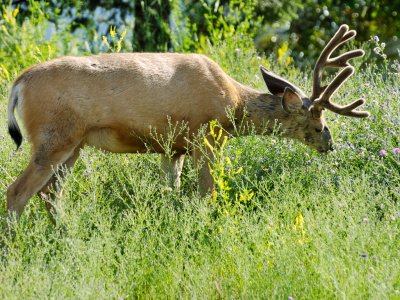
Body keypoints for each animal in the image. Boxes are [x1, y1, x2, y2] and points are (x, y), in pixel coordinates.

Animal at [6, 24, 368, 220]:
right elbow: (207, 193)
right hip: (53, 137)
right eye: (319, 124)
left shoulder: (173, 148)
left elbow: (173, 190)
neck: (233, 104)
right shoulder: (206, 136)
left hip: (74, 145)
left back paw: (66, 236)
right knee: (17, 192)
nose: (330, 144)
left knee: (50, 193)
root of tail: (19, 82)